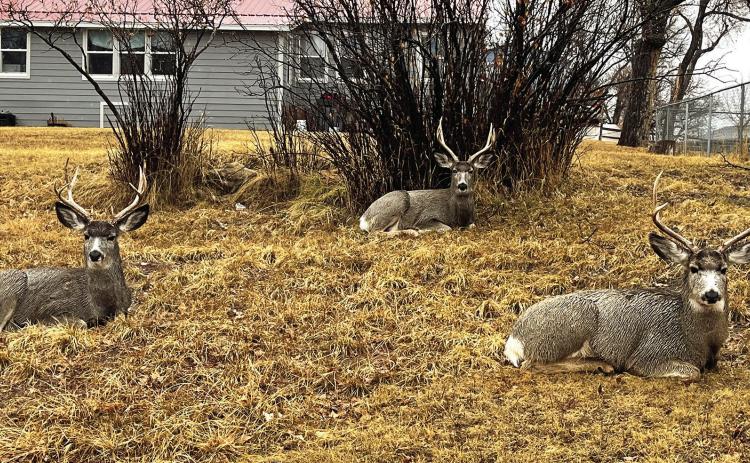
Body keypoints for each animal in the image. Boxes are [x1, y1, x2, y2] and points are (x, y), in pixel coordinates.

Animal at [0, 165, 150, 330]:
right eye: (86, 235)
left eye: (111, 236)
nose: (95, 254)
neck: (99, 306)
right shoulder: (49, 309)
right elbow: (81, 322)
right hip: (14, 284)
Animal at [359, 118, 495, 236]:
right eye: (454, 170)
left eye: (471, 171)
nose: (462, 185)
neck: (457, 216)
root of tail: (363, 219)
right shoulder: (425, 218)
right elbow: (447, 228)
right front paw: (421, 230)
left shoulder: (471, 222)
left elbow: (473, 225)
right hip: (398, 201)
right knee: (374, 232)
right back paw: (413, 232)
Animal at [504, 172, 750, 381]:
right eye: (693, 268)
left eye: (724, 269)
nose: (711, 294)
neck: (703, 341)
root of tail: (515, 336)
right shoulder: (648, 355)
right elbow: (693, 372)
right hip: (569, 329)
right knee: (530, 364)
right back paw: (603, 365)